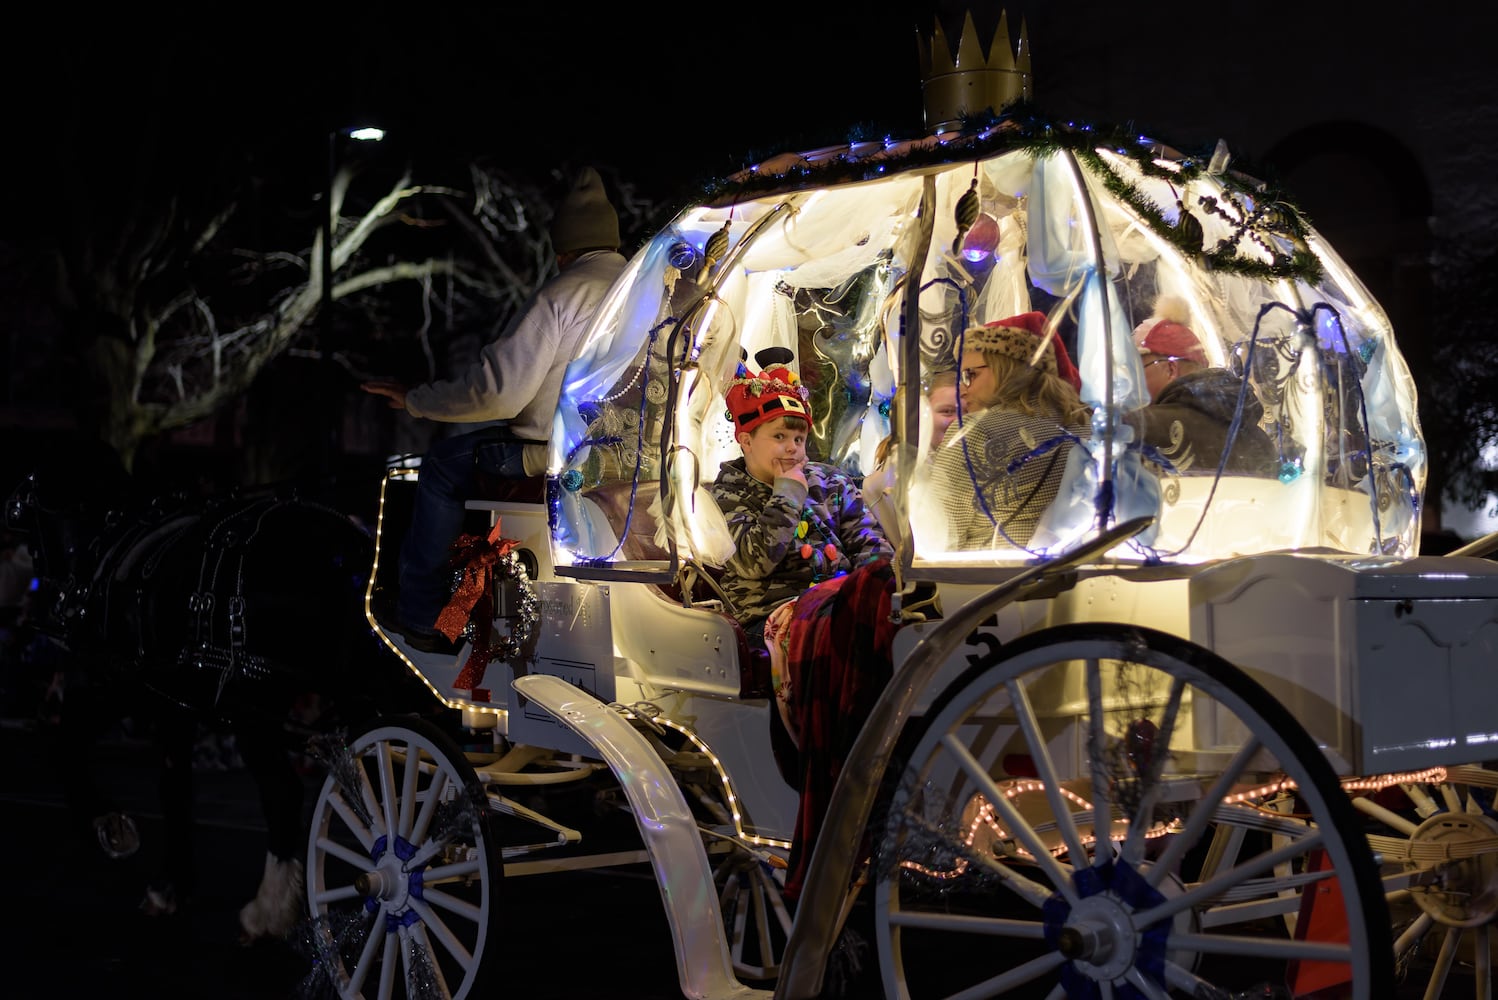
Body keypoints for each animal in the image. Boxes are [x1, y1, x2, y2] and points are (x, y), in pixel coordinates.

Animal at [8, 449, 431, 940]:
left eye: (29, 519)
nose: (49, 598)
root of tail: (351, 553)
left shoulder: (120, 681)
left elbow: (67, 741)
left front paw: (108, 824)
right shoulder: (170, 704)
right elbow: (173, 787)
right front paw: (170, 884)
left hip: (254, 705)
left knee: (285, 794)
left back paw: (268, 911)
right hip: (350, 697)